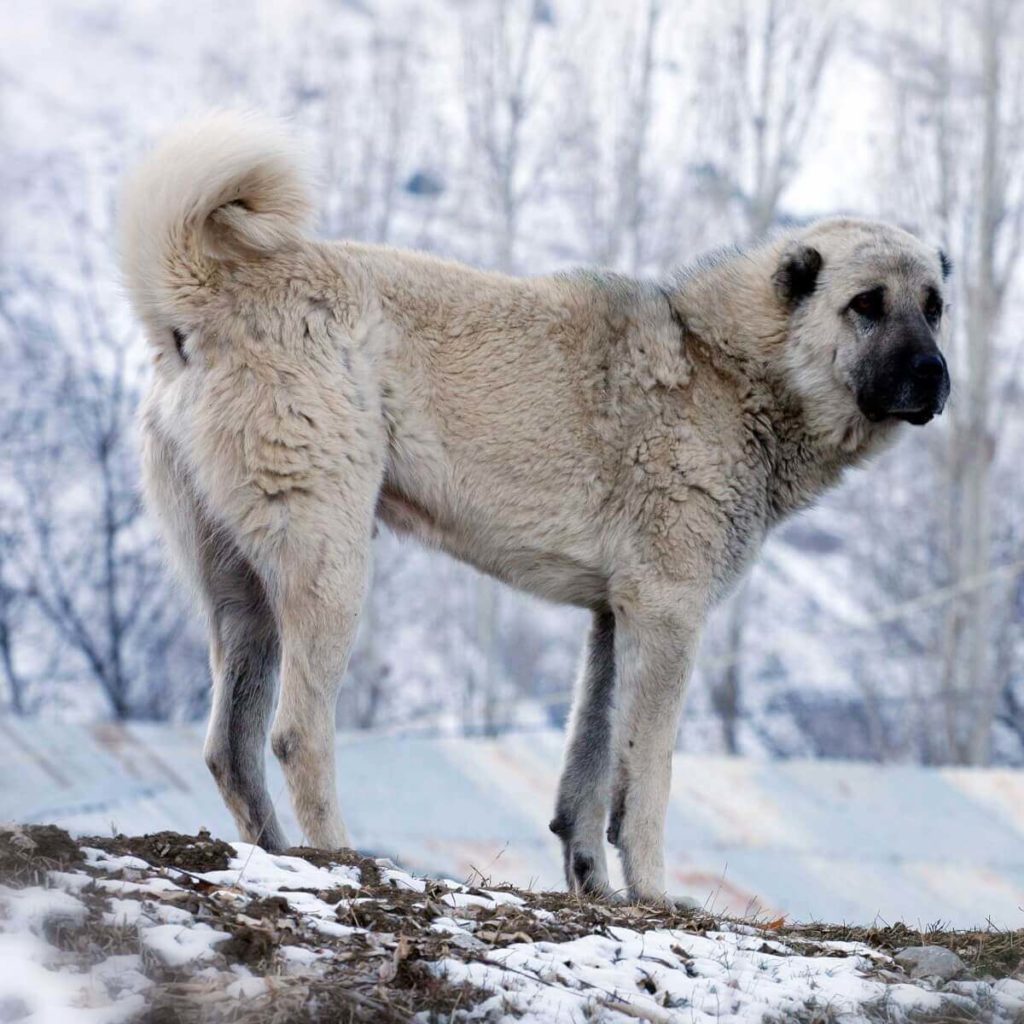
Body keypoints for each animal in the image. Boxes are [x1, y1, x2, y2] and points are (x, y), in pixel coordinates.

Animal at [121, 114, 950, 905]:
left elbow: (587, 773)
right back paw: (342, 860)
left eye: (935, 308)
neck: (729, 369)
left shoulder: (614, 618)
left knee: (230, 746)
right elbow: (646, 779)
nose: (934, 376)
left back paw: (276, 856)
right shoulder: (668, 614)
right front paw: (655, 892)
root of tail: (209, 296)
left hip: (242, 592)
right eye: (867, 305)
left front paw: (596, 888)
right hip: (328, 567)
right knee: (296, 734)